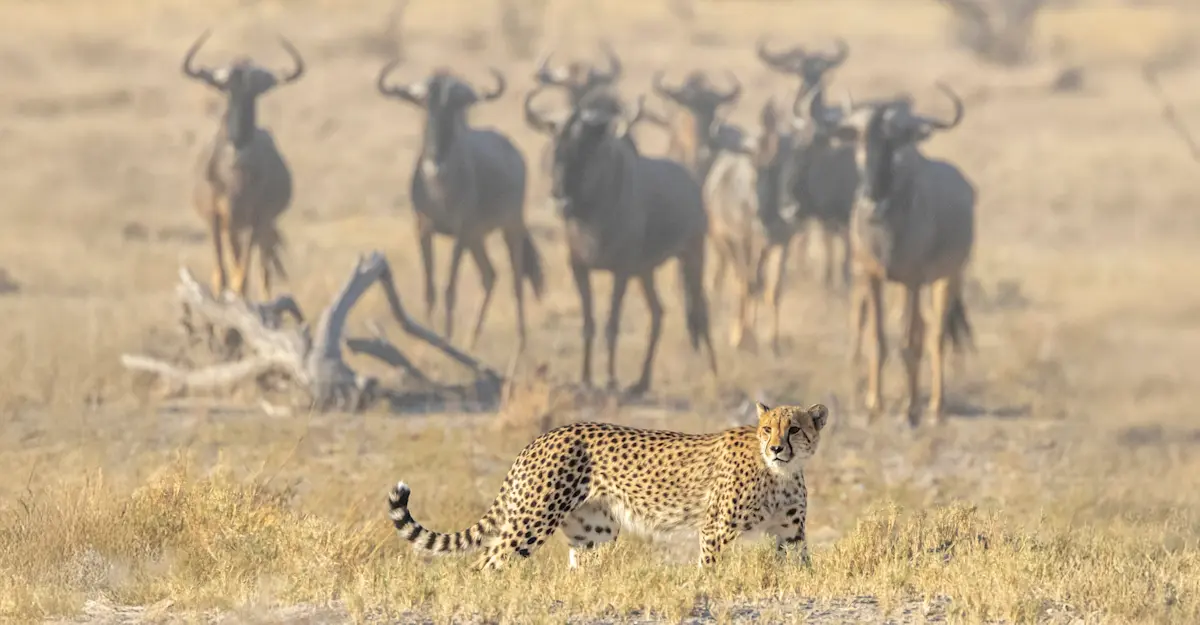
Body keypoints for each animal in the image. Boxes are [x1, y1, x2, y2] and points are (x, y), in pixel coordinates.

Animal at [386, 401, 829, 570]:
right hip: (533, 520)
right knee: (488, 561)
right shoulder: (715, 529)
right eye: (767, 428)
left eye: (794, 429)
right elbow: (711, 568)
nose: (775, 447)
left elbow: (801, 567)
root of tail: (544, 435)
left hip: (593, 532)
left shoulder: (790, 535)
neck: (780, 473)